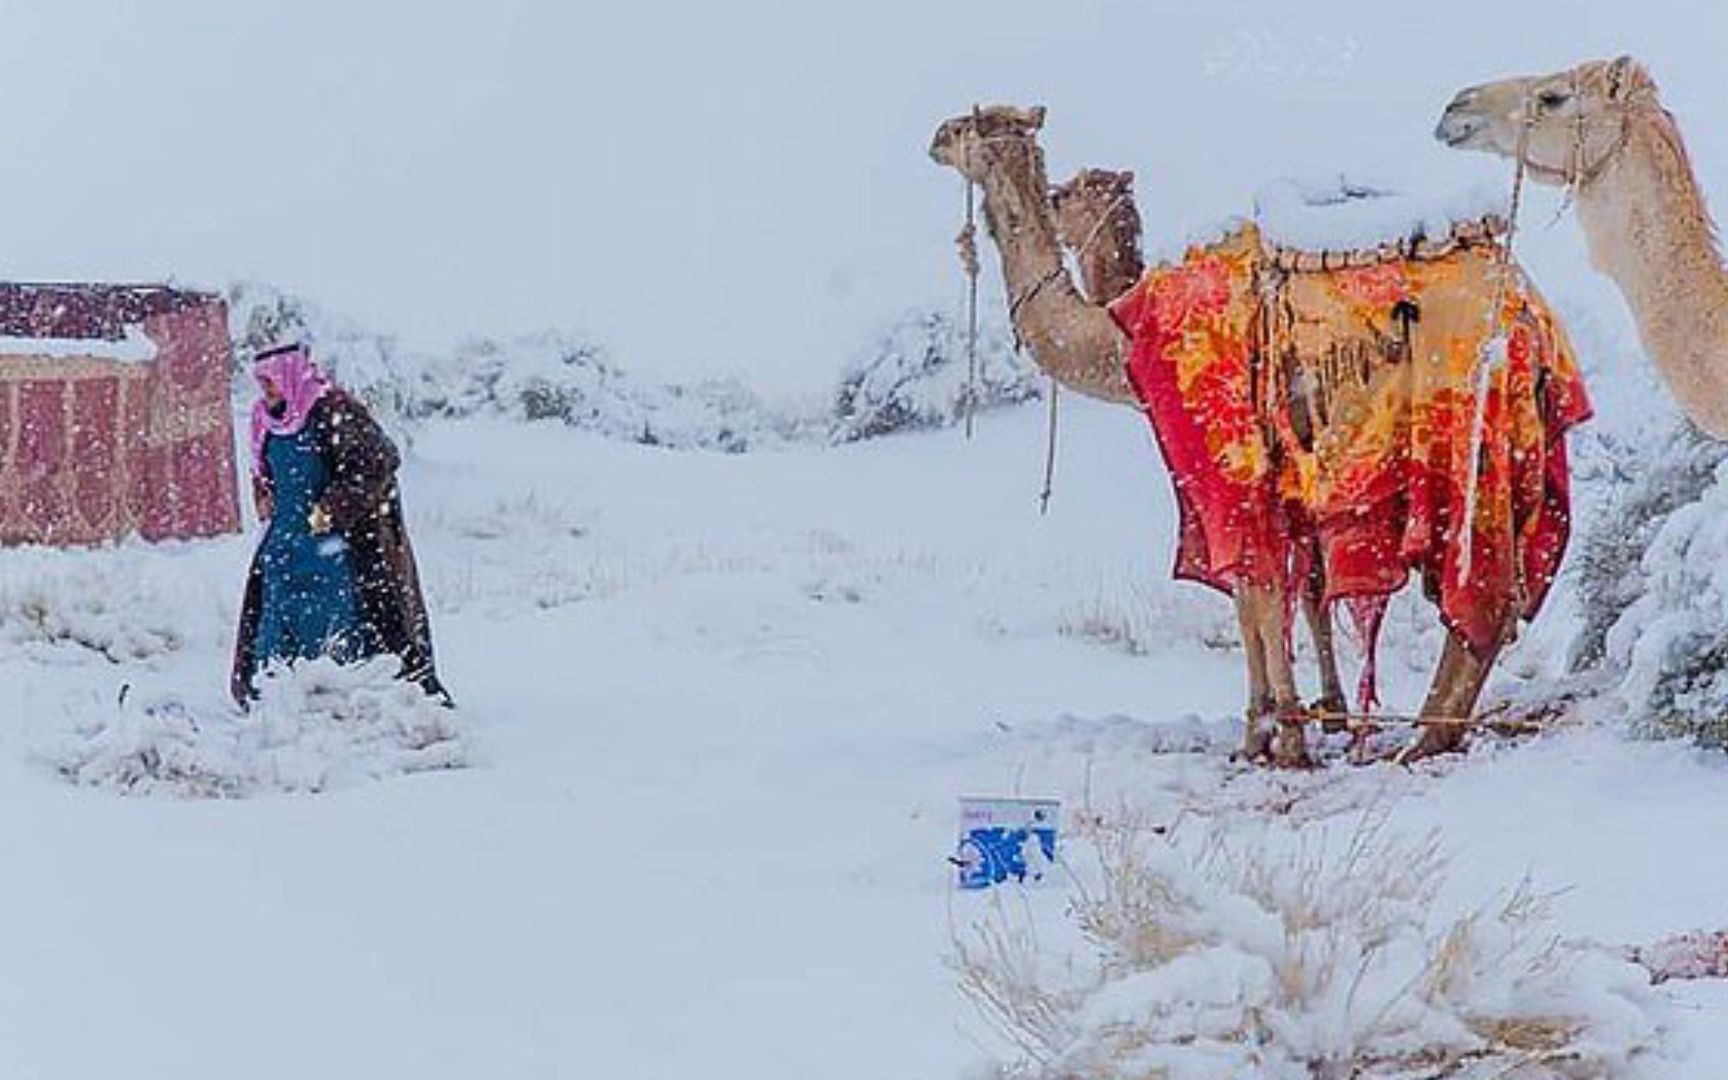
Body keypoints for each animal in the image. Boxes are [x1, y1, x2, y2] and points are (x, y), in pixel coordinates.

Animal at [933, 105, 1582, 763]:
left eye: (965, 128)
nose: (934, 140)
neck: (1119, 338)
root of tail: (1530, 316)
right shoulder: (1290, 483)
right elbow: (1298, 591)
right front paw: (1317, 717)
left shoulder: (1226, 463)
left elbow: (1256, 595)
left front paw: (1273, 735)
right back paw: (1430, 732)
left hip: (1470, 432)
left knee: (1483, 596)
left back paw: (1424, 737)